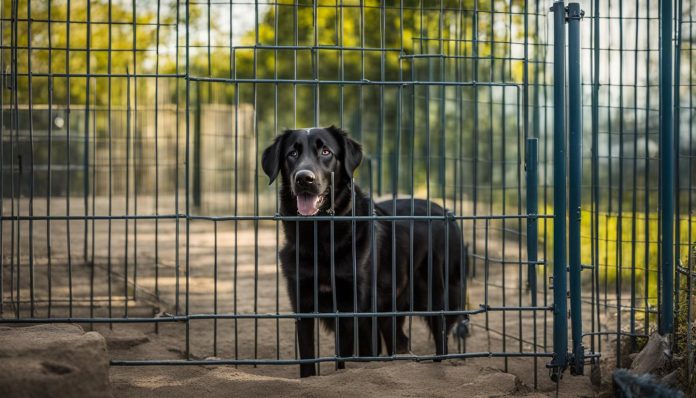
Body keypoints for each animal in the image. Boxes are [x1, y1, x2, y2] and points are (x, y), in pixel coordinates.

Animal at [260, 126, 468, 378]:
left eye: (326, 151)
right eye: (292, 154)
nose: (304, 178)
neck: (321, 239)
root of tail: (446, 212)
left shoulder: (354, 310)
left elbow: (348, 359)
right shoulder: (303, 305)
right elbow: (309, 360)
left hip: (439, 296)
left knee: (440, 339)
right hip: (390, 308)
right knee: (400, 341)